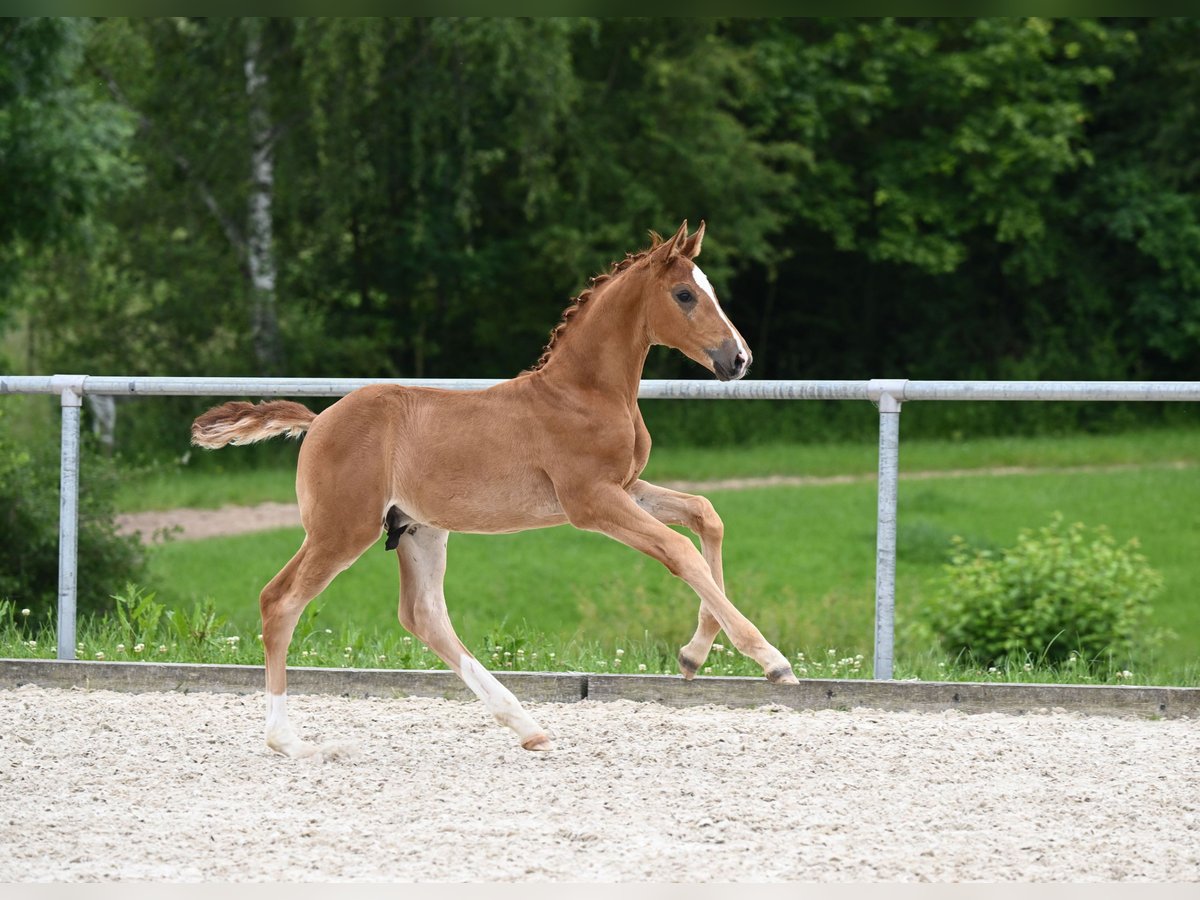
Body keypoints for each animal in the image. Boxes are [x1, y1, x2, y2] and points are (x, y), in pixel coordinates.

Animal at [194, 222, 796, 758]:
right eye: (684, 294)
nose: (738, 359)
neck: (583, 393)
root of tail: (318, 421)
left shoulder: (624, 487)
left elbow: (705, 514)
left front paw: (694, 655)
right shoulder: (591, 501)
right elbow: (678, 549)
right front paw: (770, 659)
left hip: (417, 530)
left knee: (424, 616)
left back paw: (526, 725)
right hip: (341, 529)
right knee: (280, 601)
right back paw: (290, 742)